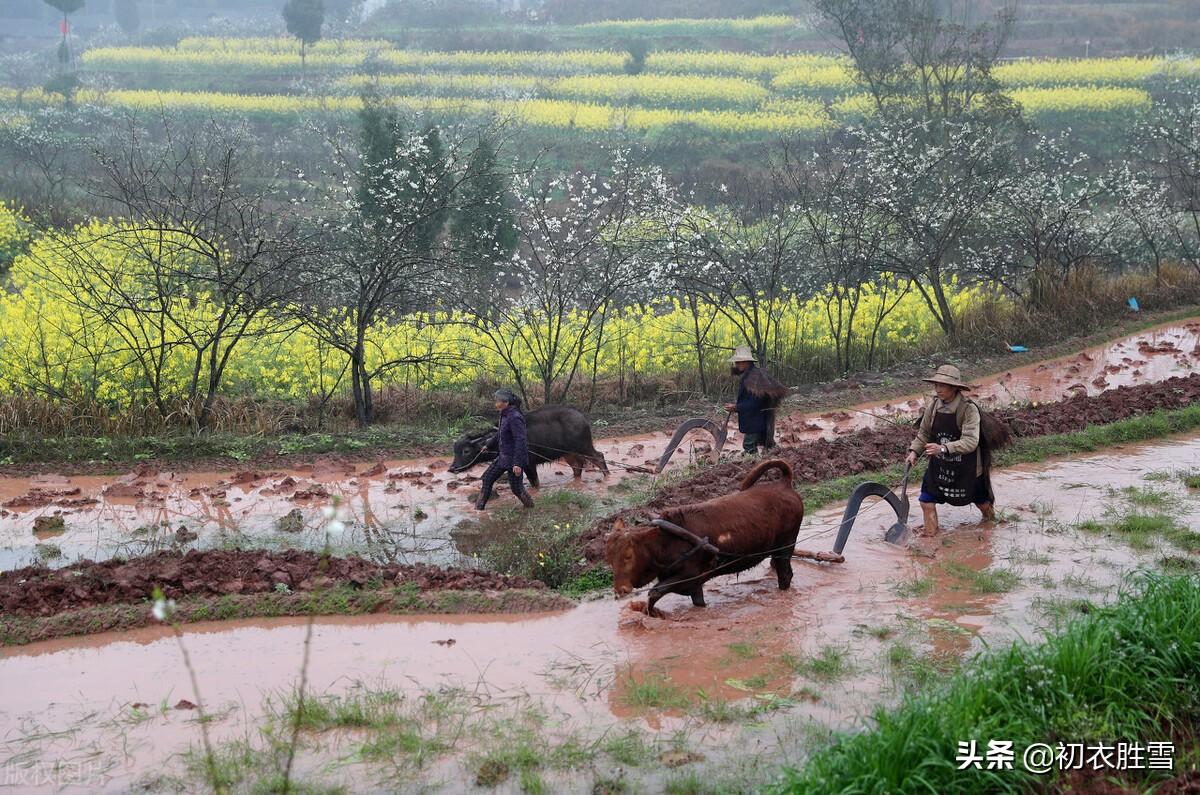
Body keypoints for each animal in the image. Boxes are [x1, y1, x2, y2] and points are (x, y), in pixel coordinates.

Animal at [448, 408, 609, 489]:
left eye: (466, 451)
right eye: (455, 451)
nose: (452, 468)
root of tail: (583, 419)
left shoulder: (529, 464)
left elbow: (535, 483)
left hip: (584, 446)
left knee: (599, 456)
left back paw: (607, 476)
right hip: (569, 453)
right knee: (577, 466)